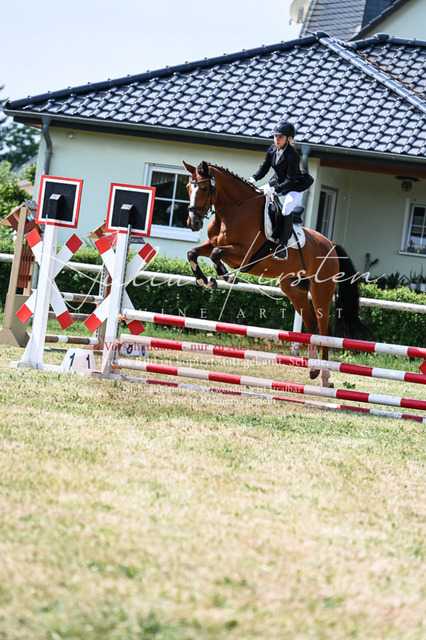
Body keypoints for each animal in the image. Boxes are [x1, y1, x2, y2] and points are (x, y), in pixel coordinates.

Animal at [183, 161, 371, 388]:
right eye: (188, 188)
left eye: (203, 188)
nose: (193, 223)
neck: (234, 209)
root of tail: (331, 245)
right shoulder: (212, 243)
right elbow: (193, 252)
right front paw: (205, 280)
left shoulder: (243, 254)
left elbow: (217, 254)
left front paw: (226, 276)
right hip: (293, 288)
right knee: (311, 324)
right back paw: (314, 370)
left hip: (321, 290)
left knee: (324, 329)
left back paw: (326, 378)